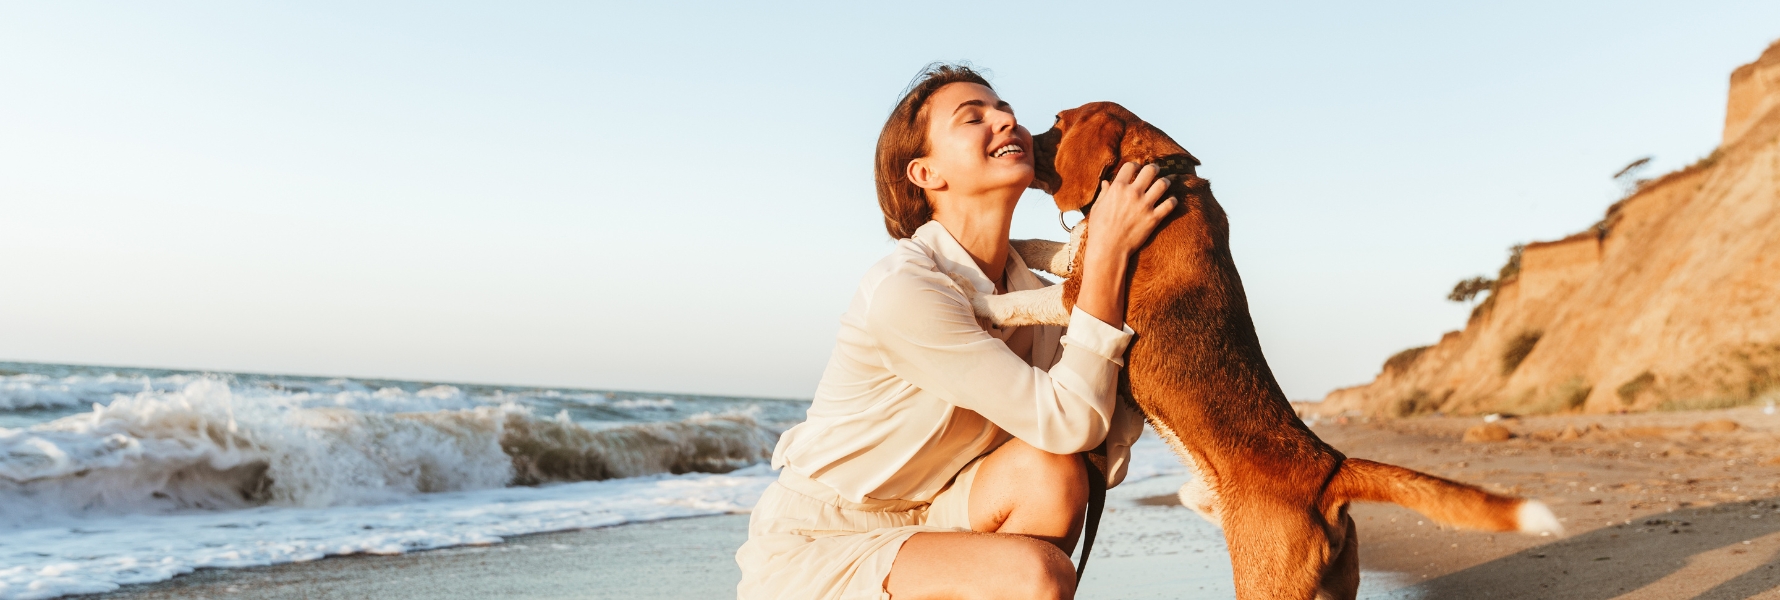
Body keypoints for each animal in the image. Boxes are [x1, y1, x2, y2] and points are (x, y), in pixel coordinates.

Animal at [961, 100, 1559, 594]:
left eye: (1056, 123)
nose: (1018, 138)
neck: (1165, 173)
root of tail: (1328, 470)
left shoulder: (1080, 294)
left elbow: (1026, 298)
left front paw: (982, 301)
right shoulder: (1079, 264)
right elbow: (1050, 248)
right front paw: (1010, 247)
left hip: (1263, 579)